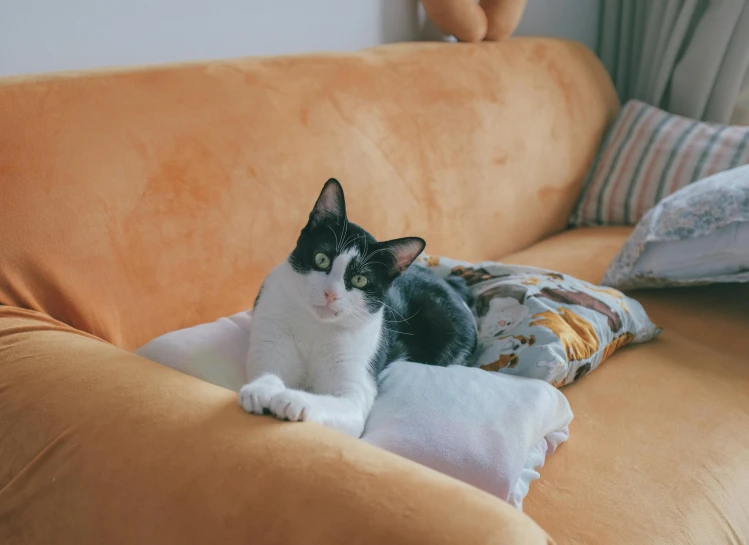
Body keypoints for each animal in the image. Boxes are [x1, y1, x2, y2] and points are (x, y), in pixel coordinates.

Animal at [240, 181, 474, 436]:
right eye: (321, 259)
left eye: (360, 279)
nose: (331, 293)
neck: (316, 327)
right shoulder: (271, 326)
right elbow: (267, 368)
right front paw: (262, 389)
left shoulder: (358, 369)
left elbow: (344, 404)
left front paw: (293, 399)